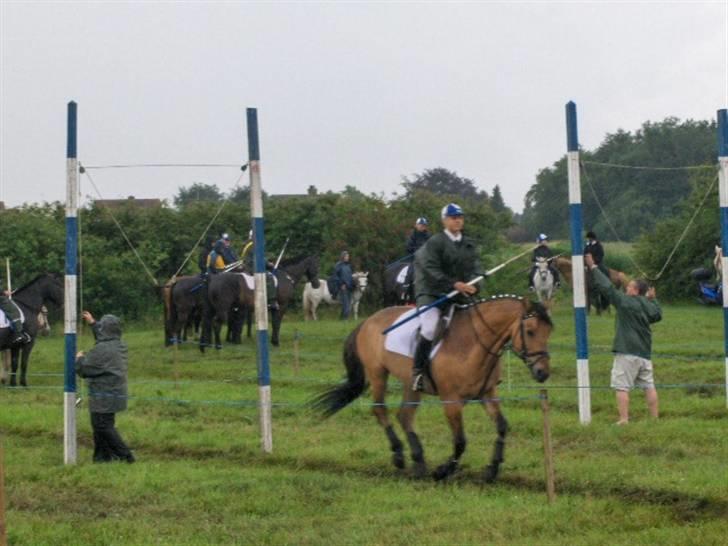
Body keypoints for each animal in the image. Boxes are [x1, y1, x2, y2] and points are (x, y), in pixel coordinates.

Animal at [312, 294, 552, 480]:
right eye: (530, 331)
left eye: (549, 332)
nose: (543, 373)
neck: (474, 343)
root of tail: (368, 320)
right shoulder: (451, 401)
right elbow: (460, 441)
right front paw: (444, 470)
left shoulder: (487, 394)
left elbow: (502, 426)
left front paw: (492, 469)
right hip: (378, 373)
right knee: (380, 409)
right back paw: (399, 455)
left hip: (410, 383)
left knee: (404, 416)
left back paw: (418, 462)